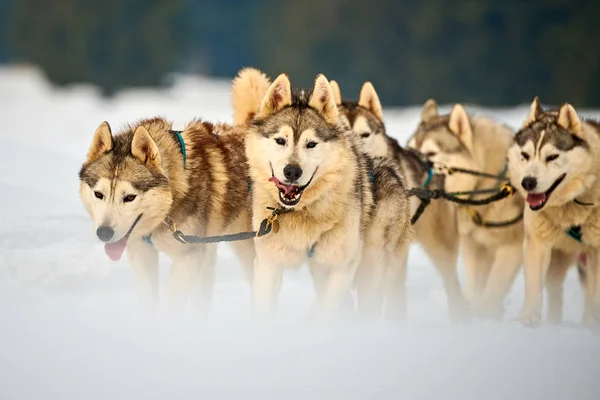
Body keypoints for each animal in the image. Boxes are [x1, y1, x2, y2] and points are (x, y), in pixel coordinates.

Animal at [78, 111, 258, 312]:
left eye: (130, 197)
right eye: (98, 194)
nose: (104, 233)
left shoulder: (188, 256)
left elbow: (171, 305)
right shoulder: (142, 252)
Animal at [237, 71, 414, 322]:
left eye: (311, 144)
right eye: (280, 140)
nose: (292, 171)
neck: (303, 212)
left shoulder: (341, 266)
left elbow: (325, 315)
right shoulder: (268, 263)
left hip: (371, 263)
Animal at [408, 100, 524, 318]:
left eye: (431, 154)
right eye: (408, 150)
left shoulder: (511, 246)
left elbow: (493, 289)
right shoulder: (473, 245)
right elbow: (475, 287)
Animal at [508, 97, 600, 328]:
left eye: (552, 157)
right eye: (525, 155)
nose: (528, 182)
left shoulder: (597, 249)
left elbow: (595, 296)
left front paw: (592, 324)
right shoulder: (537, 244)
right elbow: (533, 287)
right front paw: (528, 318)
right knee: (555, 292)